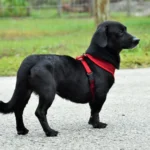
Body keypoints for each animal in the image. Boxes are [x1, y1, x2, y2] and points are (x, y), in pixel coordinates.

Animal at [0, 20, 139, 137]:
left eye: (125, 29)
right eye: (120, 32)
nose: (137, 39)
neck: (99, 58)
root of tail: (30, 60)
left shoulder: (94, 96)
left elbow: (92, 110)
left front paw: (92, 123)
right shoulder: (101, 94)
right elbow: (96, 111)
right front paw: (97, 124)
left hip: (24, 91)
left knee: (18, 109)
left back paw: (22, 130)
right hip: (48, 92)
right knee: (40, 112)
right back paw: (50, 132)